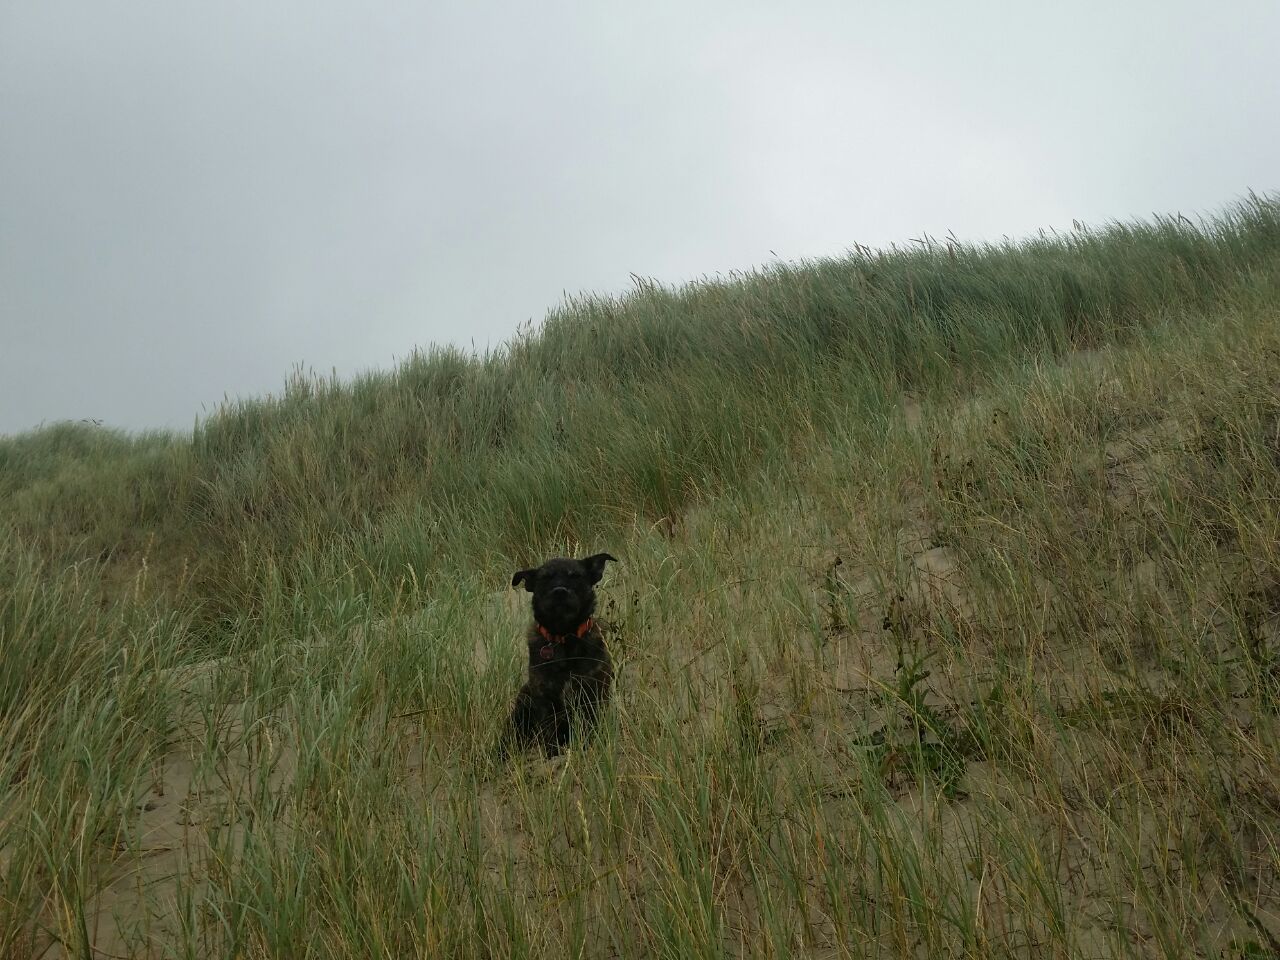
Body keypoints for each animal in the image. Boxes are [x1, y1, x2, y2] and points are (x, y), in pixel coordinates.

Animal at [501, 552, 618, 757]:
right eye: (545, 578)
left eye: (575, 576)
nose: (559, 591)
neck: (565, 636)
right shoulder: (546, 700)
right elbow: (550, 734)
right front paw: (553, 756)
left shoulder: (592, 693)